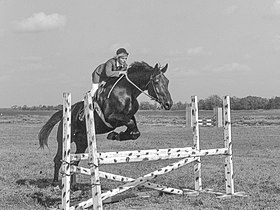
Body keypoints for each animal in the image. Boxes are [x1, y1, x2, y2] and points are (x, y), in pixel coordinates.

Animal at [37, 61, 173, 185]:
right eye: (156, 81)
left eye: (167, 82)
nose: (168, 104)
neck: (127, 91)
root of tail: (64, 113)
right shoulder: (111, 117)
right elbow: (130, 124)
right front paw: (115, 135)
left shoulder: (127, 117)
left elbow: (134, 130)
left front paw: (118, 135)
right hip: (64, 140)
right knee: (58, 159)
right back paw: (55, 183)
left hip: (82, 142)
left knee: (74, 162)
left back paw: (72, 185)